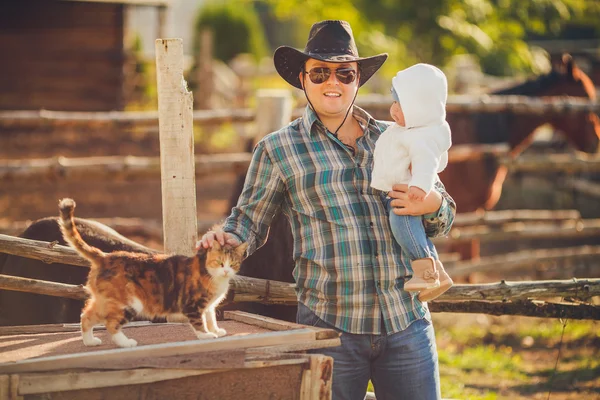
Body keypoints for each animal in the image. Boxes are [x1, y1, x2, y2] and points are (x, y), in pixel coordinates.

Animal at [59, 198, 248, 348]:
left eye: (233, 264)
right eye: (220, 262)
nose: (226, 270)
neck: (210, 273)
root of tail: (105, 256)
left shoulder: (208, 306)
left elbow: (210, 317)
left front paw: (216, 330)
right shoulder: (193, 304)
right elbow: (199, 321)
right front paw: (206, 334)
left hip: (105, 300)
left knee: (86, 316)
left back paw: (90, 341)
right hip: (128, 302)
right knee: (111, 323)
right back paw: (126, 343)